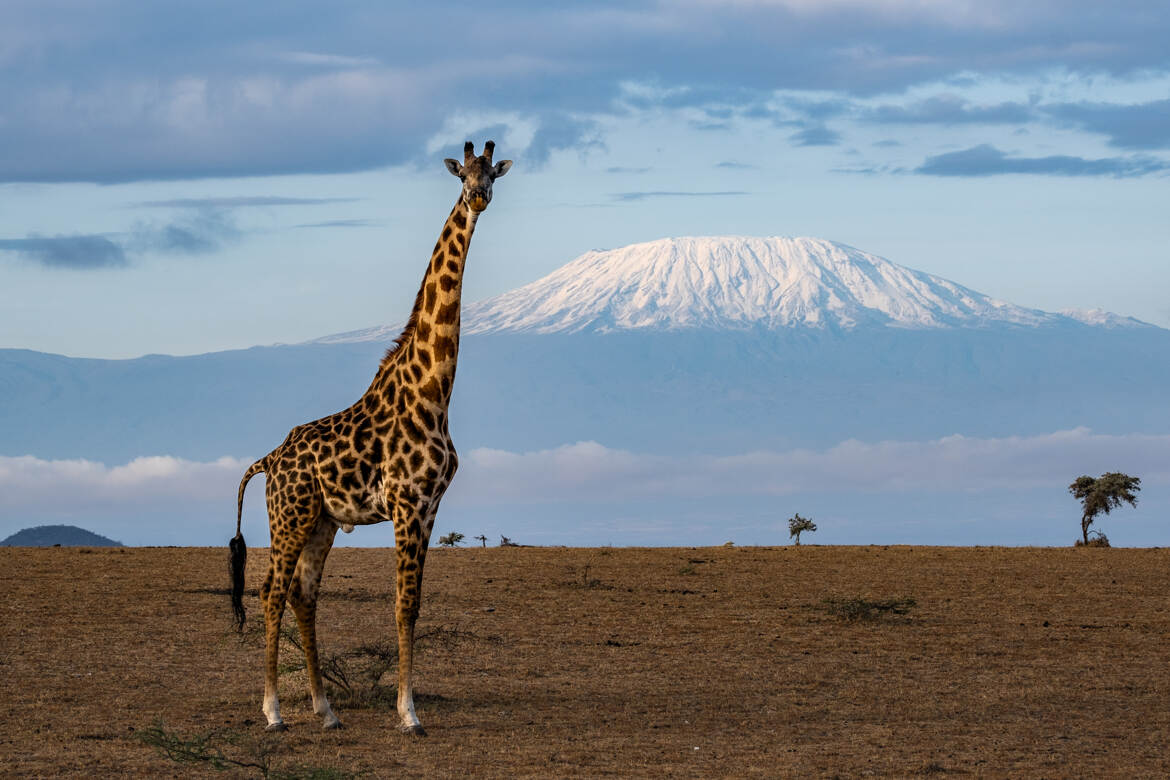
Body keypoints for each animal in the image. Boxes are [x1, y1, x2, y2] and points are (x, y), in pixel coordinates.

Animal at [230, 142, 514, 739]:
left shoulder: (430, 506)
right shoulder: (408, 502)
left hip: (321, 521)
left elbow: (415, 605)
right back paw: (273, 711)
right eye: (463, 175)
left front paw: (405, 708)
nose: (479, 197)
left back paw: (326, 710)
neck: (435, 389)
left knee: (303, 595)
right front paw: (409, 714)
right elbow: (403, 605)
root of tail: (267, 460)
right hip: (289, 517)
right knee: (271, 592)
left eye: (493, 174)